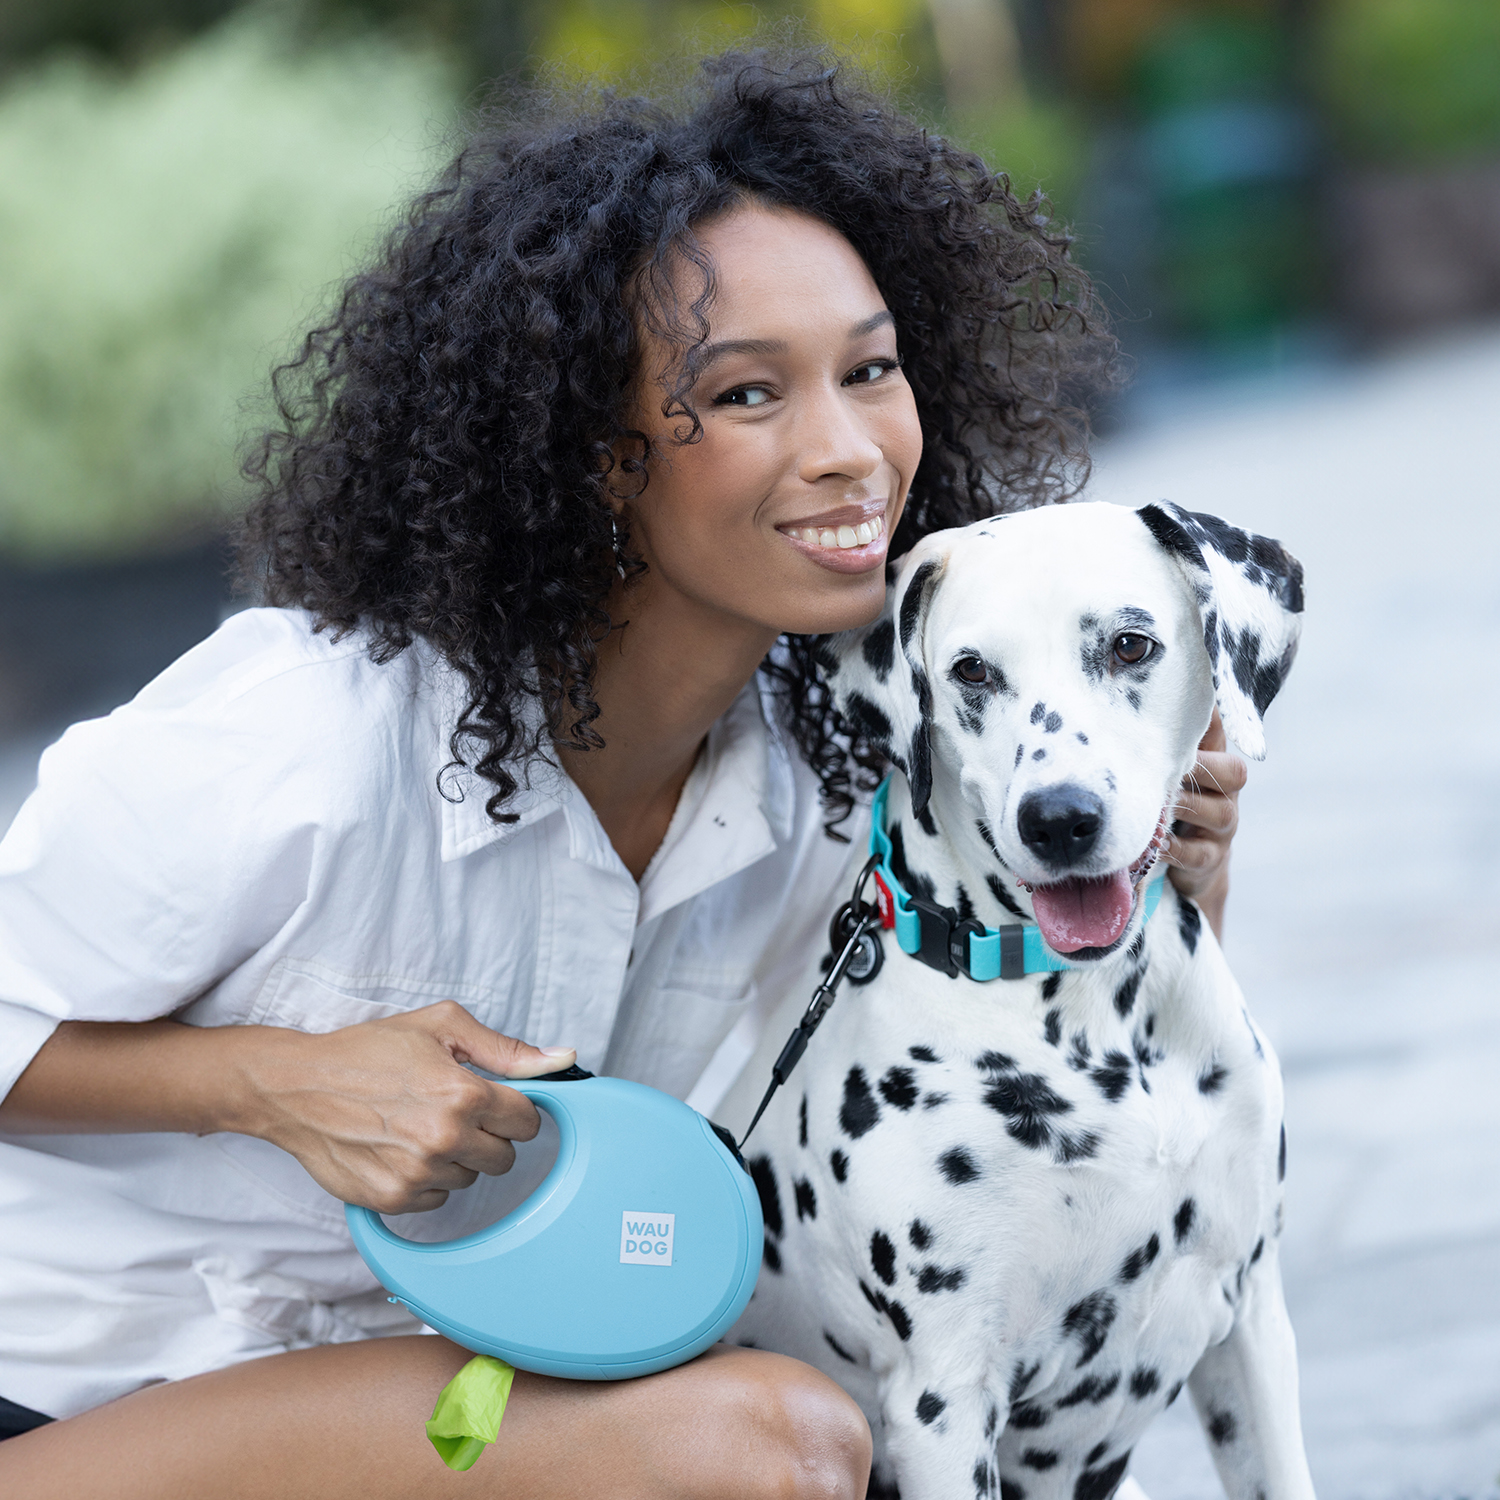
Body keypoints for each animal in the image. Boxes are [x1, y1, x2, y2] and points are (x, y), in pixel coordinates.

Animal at [720, 501, 1320, 1500]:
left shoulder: (1252, 1321)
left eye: (1129, 645)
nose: (1060, 819)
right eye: (971, 670)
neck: (1096, 1028)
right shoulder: (944, 1402)